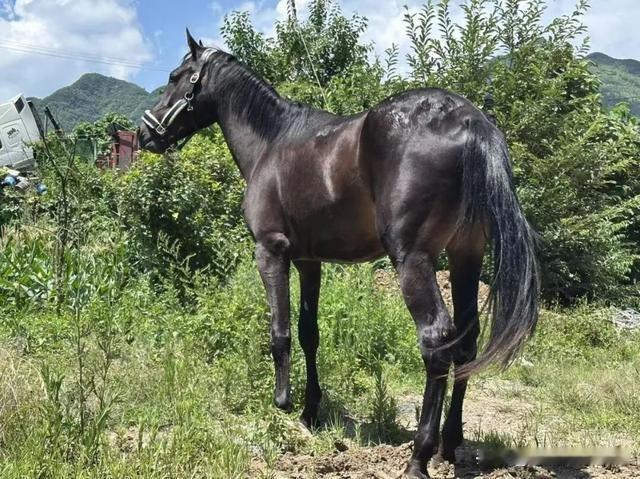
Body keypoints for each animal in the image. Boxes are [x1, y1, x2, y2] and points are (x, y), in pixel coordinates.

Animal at [138, 30, 539, 479]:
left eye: (176, 77)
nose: (144, 133)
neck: (271, 143)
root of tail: (470, 121)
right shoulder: (308, 261)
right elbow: (308, 332)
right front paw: (311, 410)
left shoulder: (270, 252)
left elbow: (280, 331)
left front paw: (283, 403)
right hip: (465, 256)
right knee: (466, 345)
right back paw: (449, 445)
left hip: (415, 261)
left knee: (437, 343)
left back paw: (419, 456)